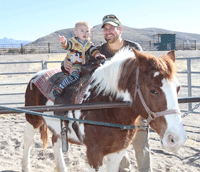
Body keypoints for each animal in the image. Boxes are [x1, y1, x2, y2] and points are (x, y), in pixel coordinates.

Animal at [21, 47, 186, 171]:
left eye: (178, 88)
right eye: (153, 90)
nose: (175, 139)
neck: (105, 106)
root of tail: (35, 76)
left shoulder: (118, 152)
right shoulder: (94, 154)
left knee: (56, 143)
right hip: (32, 120)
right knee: (27, 142)